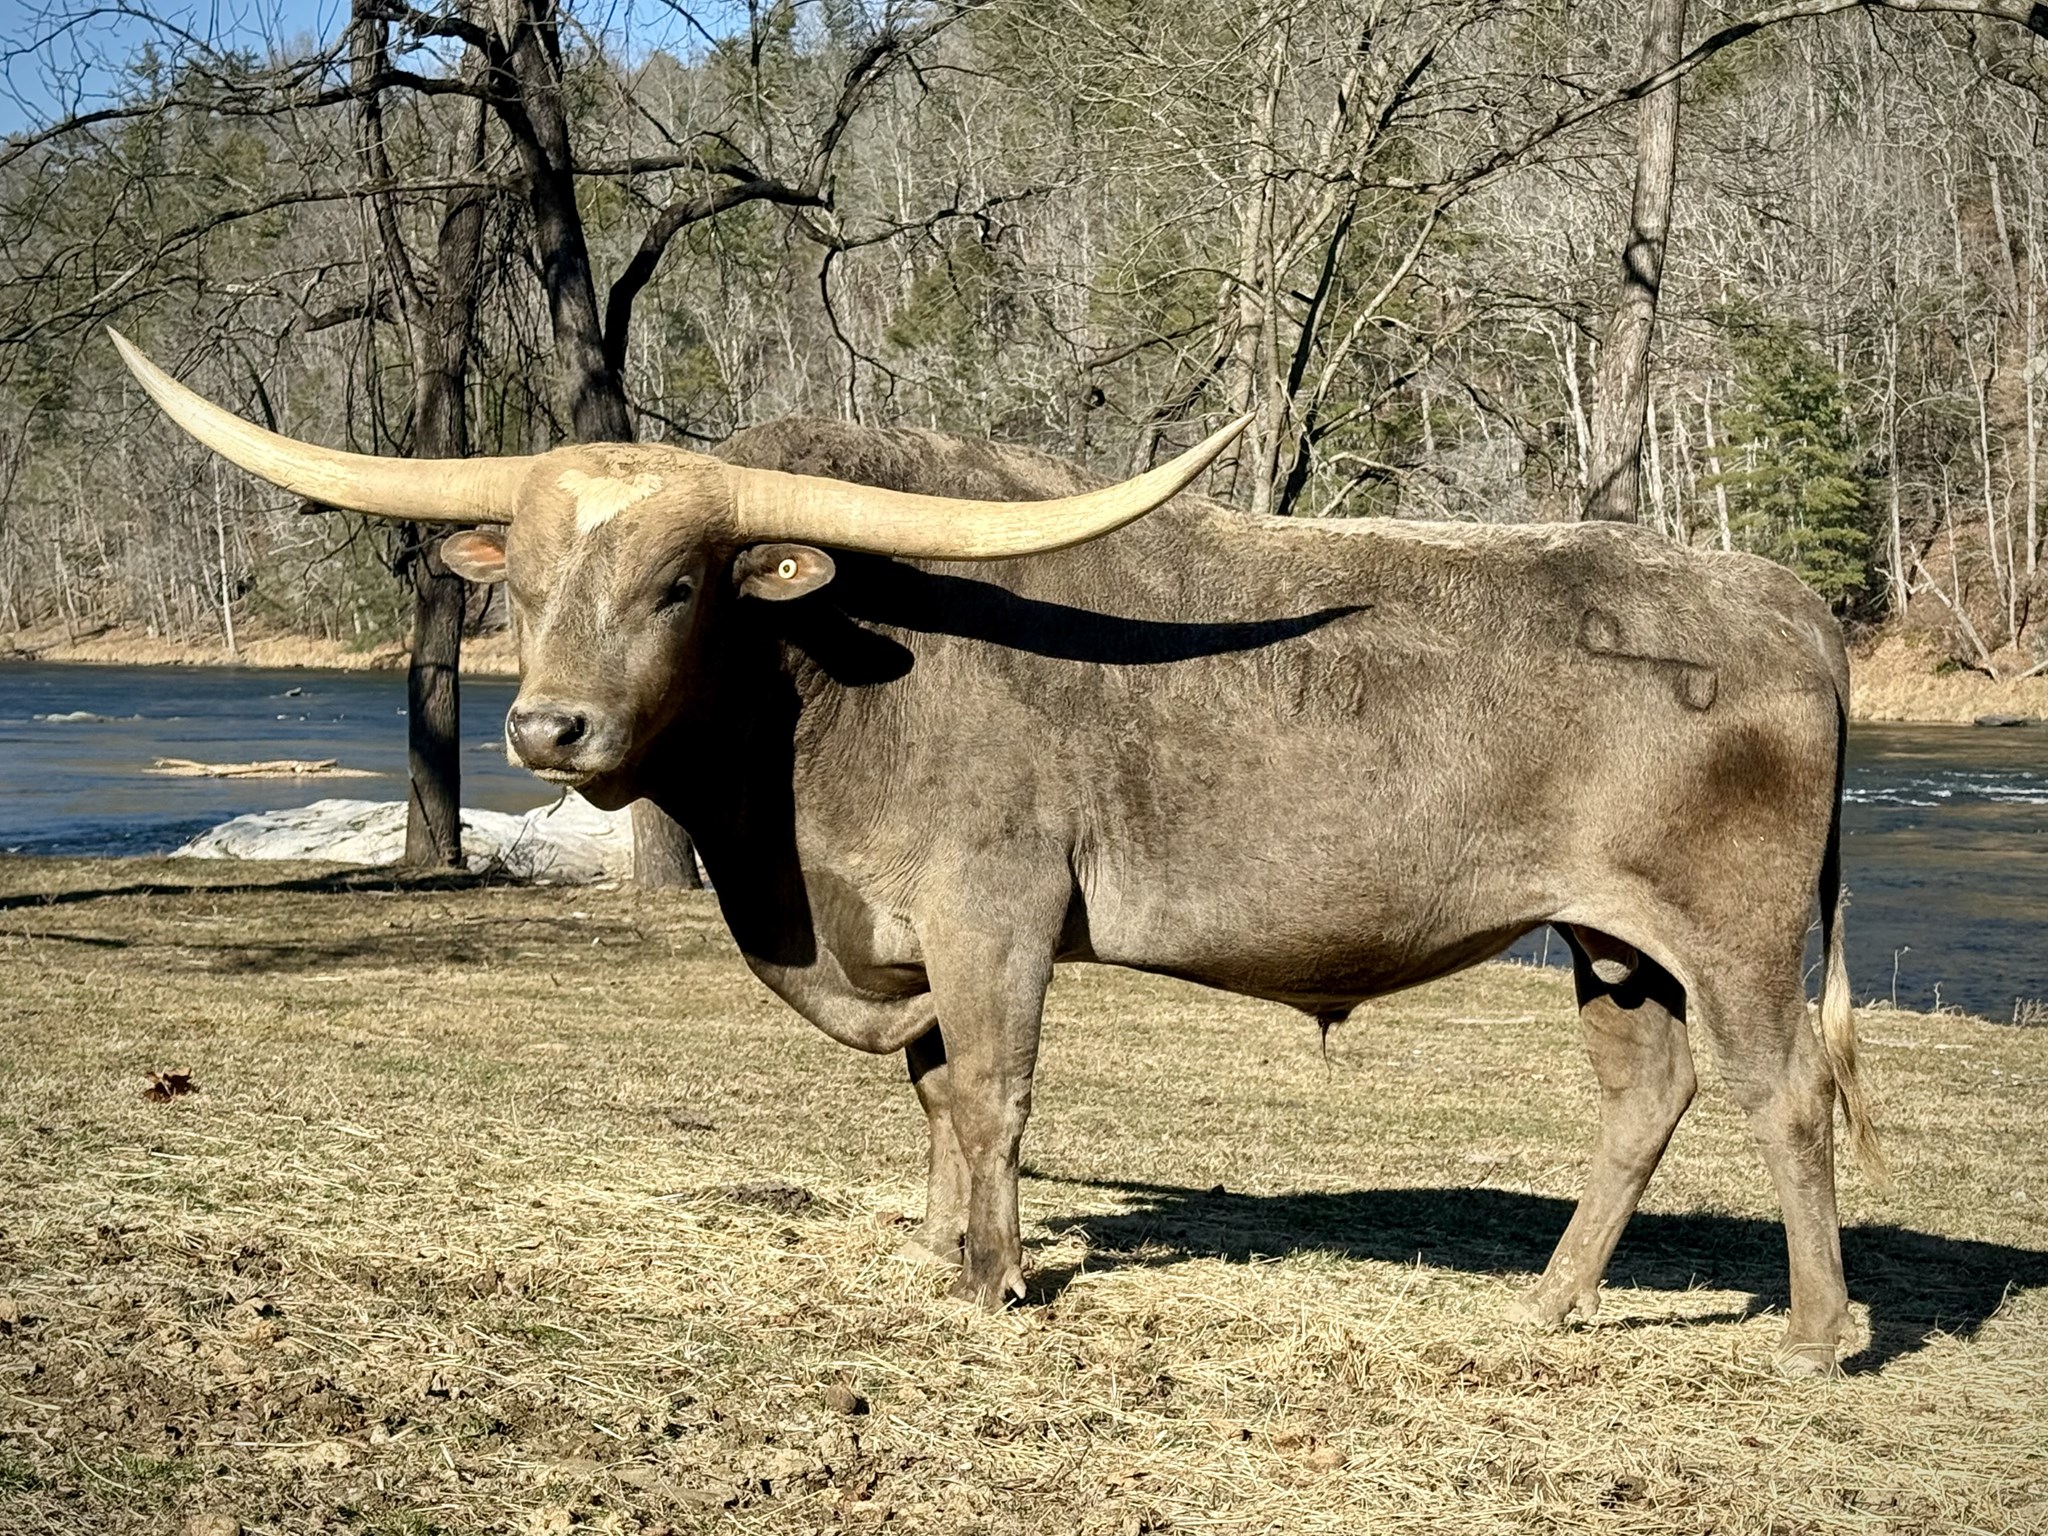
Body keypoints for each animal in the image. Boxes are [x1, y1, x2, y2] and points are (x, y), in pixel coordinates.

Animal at [111, 330, 1879, 1375]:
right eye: (520, 586)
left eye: (679, 586)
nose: (551, 731)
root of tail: (1790, 604)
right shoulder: (899, 933)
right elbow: (937, 1096)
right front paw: (943, 1250)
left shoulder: (996, 911)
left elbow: (998, 1091)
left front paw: (996, 1279)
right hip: (1613, 941)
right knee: (1644, 1099)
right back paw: (1552, 1304)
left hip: (1733, 935)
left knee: (1781, 1095)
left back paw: (1809, 1336)